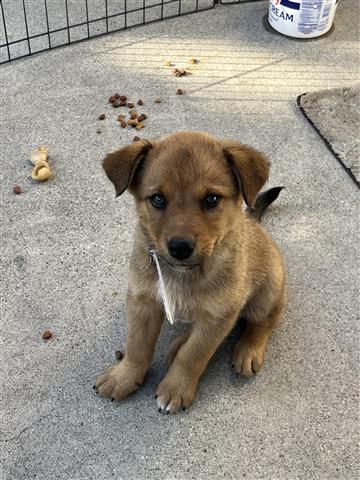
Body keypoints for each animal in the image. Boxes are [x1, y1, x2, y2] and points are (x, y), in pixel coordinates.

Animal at [96, 130, 286, 412]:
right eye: (157, 199)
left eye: (211, 199)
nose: (180, 247)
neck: (185, 273)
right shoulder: (143, 301)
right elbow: (137, 345)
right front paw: (124, 377)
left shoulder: (218, 316)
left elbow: (194, 354)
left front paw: (176, 388)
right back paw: (177, 344)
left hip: (269, 291)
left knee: (263, 322)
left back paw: (248, 350)